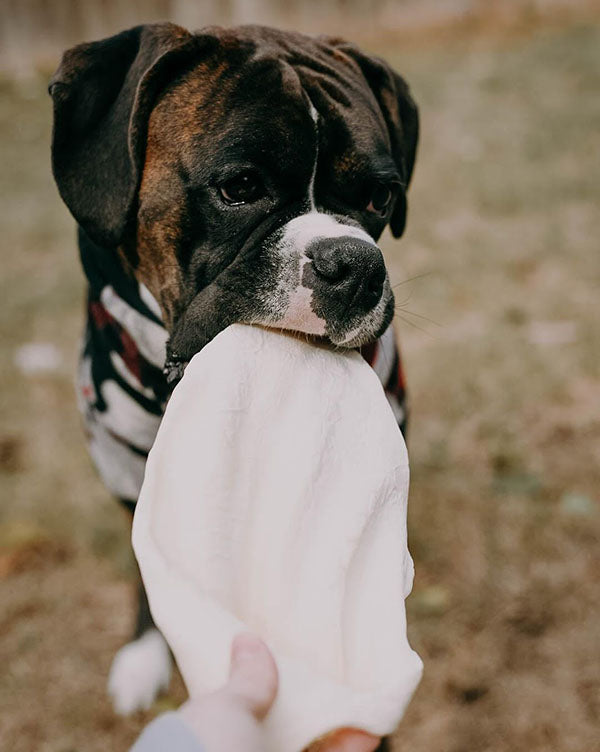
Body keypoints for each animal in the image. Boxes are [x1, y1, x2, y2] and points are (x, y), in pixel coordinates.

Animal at [49, 20, 420, 732]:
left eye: (380, 197)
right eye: (240, 186)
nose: (354, 264)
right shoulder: (125, 469)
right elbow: (148, 567)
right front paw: (145, 651)